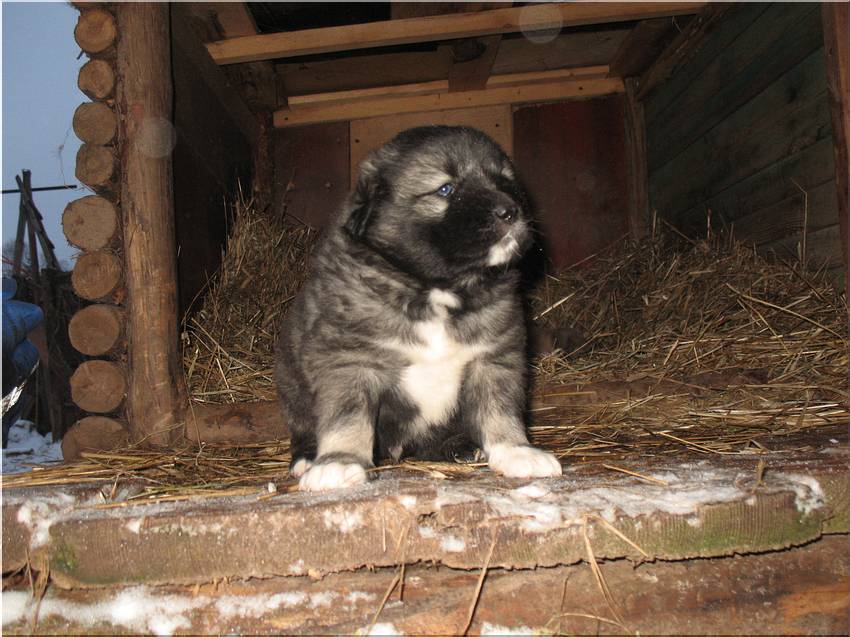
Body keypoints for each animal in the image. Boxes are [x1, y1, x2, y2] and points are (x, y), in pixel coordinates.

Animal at [276, 126, 562, 491]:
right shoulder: (351, 360)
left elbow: (500, 409)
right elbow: (348, 417)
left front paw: (517, 450)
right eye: (446, 188)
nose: (510, 211)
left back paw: (456, 446)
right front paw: (339, 462)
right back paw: (307, 457)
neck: (437, 289)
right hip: (292, 389)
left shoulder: (493, 358)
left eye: (504, 183)